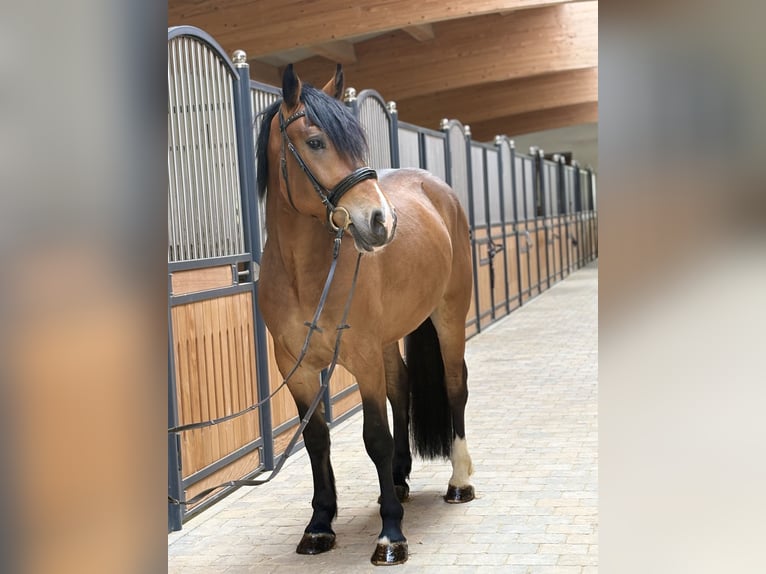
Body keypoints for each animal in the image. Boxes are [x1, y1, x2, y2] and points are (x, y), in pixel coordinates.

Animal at [255, 63, 475, 565]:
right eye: (316, 141)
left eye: (358, 142)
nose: (381, 222)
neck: (303, 273)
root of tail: (438, 189)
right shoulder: (295, 368)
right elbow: (317, 439)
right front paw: (319, 526)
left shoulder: (362, 357)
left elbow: (374, 437)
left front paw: (391, 536)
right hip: (390, 338)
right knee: (402, 388)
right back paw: (397, 481)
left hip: (449, 316)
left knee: (455, 386)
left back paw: (458, 482)